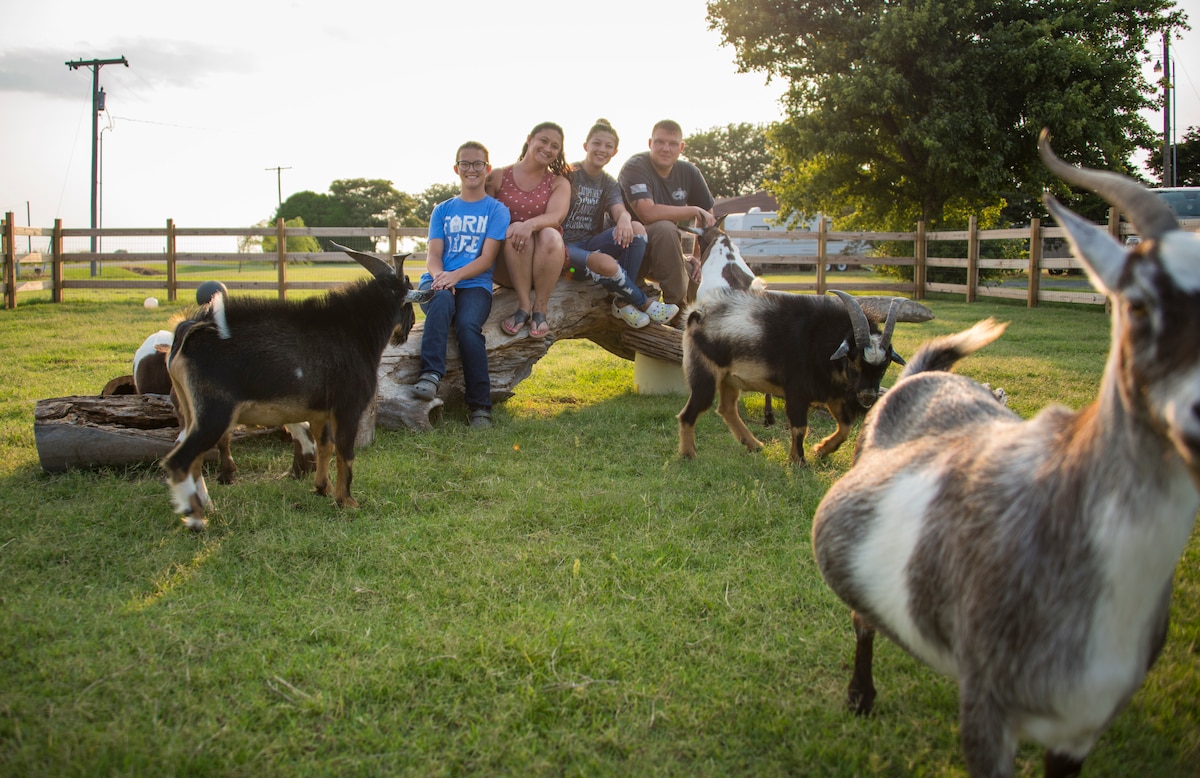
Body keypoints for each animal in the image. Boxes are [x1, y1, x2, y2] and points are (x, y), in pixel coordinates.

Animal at [164, 246, 432, 530]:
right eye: (408, 302)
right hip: (215, 412)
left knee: (191, 456)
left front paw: (322, 488)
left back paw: (208, 506)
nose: (408, 328)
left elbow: (324, 446)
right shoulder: (348, 407)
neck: (353, 331)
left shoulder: (319, 412)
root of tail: (188, 330)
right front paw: (346, 501)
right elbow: (345, 451)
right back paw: (196, 521)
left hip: (190, 409)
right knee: (180, 459)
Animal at [681, 288, 902, 465]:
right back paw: (688, 454)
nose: (868, 396)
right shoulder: (797, 392)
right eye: (853, 361)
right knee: (690, 412)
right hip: (704, 373)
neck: (821, 341)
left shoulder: (830, 393)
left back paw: (754, 444)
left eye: (885, 366)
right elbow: (800, 427)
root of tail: (698, 314)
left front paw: (821, 450)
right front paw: (799, 461)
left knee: (727, 408)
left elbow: (846, 426)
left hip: (729, 379)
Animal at [806, 130, 1200, 773]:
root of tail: (925, 374)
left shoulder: (1080, 728)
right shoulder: (988, 708)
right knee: (864, 622)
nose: (867, 394)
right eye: (1138, 302)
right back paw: (861, 697)